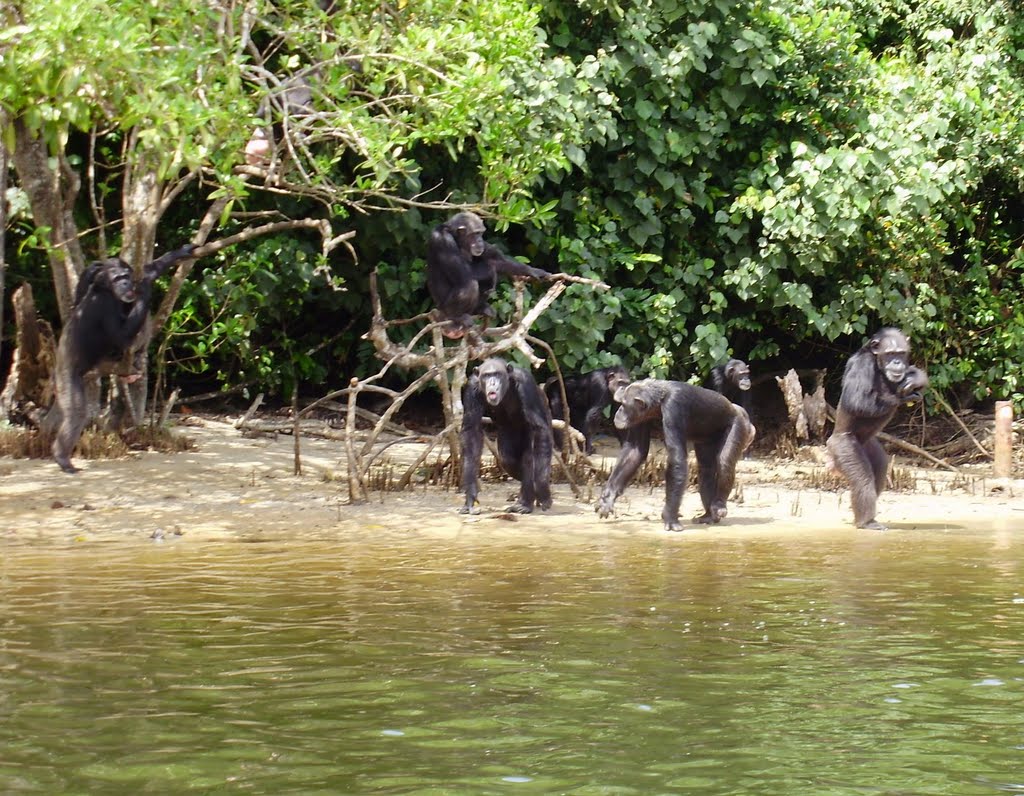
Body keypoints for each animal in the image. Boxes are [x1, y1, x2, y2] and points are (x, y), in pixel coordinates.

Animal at [50, 241, 197, 471]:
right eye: (118, 278)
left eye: (126, 275)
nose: (128, 283)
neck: (105, 289)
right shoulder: (106, 304)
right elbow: (121, 334)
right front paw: (145, 289)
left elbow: (150, 269)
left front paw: (177, 254)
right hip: (67, 377)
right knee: (76, 412)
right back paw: (62, 457)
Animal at [460, 358, 552, 516]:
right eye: (486, 375)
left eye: (497, 374)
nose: (492, 382)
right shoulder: (471, 388)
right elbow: (471, 432)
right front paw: (470, 498)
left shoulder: (525, 382)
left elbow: (540, 429)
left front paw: (542, 489)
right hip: (507, 435)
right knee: (508, 460)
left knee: (531, 455)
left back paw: (526, 503)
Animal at [598, 376, 757, 528]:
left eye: (624, 405)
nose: (618, 411)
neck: (659, 401)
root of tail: (740, 411)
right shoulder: (640, 417)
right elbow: (635, 450)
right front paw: (608, 498)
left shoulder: (673, 406)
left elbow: (677, 459)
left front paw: (670, 517)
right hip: (707, 439)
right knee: (706, 468)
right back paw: (708, 515)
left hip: (739, 425)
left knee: (724, 462)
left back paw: (719, 505)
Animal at [823, 325, 929, 532]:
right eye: (890, 354)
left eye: (901, 353)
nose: (896, 361)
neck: (877, 363)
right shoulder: (861, 365)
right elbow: (857, 401)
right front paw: (904, 394)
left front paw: (916, 377)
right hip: (843, 446)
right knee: (862, 479)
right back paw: (867, 522)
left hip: (869, 446)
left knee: (879, 471)